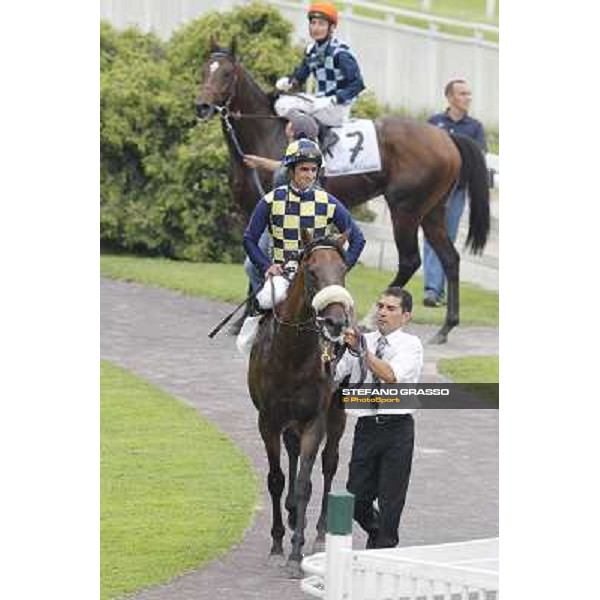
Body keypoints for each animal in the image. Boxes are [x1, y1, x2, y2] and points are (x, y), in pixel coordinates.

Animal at [195, 42, 490, 342]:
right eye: (205, 69)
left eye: (227, 74)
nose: (202, 106)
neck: (265, 133)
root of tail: (447, 137)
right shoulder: (252, 212)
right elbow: (256, 261)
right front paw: (246, 319)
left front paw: (247, 319)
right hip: (432, 212)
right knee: (450, 258)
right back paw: (446, 327)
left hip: (405, 210)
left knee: (410, 260)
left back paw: (373, 317)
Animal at [247, 233, 352, 576]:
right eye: (313, 271)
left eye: (343, 269)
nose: (336, 321)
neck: (292, 355)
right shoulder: (268, 420)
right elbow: (276, 479)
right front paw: (278, 544)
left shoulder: (314, 419)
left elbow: (306, 481)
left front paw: (295, 554)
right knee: (292, 452)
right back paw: (294, 515)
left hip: (336, 413)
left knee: (330, 462)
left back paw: (318, 532)